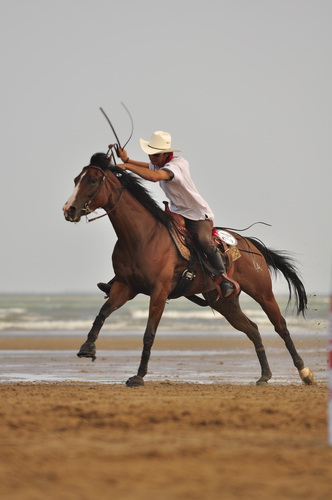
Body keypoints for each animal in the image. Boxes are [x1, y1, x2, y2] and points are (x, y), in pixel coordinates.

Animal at [63, 152, 314, 386]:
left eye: (93, 180)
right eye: (76, 180)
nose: (69, 209)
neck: (143, 237)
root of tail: (250, 244)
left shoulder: (159, 292)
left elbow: (149, 334)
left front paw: (139, 376)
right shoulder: (125, 287)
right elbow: (102, 313)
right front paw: (87, 347)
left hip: (262, 292)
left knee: (281, 326)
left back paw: (305, 373)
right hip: (223, 302)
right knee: (252, 329)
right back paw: (265, 375)